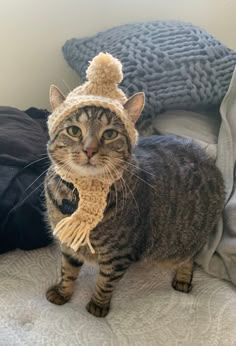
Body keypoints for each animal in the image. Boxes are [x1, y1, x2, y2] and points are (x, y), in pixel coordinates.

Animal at [44, 90, 225, 318]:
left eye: (110, 134)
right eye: (74, 130)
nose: (89, 150)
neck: (81, 194)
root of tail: (209, 159)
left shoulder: (118, 257)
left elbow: (105, 284)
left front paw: (98, 305)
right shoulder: (68, 247)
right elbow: (67, 271)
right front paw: (63, 292)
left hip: (190, 238)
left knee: (188, 258)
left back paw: (183, 278)